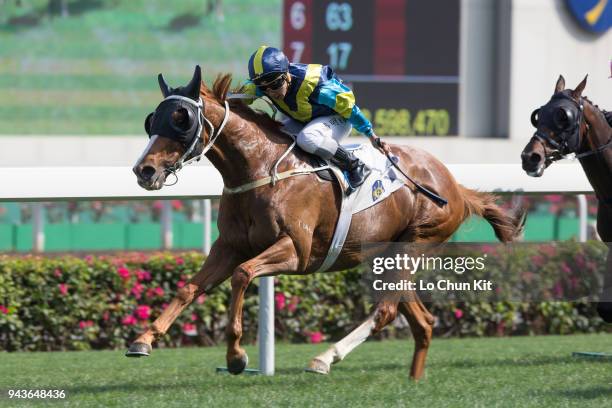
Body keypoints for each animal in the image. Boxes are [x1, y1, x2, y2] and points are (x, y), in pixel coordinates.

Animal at [126, 67, 524, 380]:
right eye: (152, 120)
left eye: (181, 119)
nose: (144, 170)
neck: (261, 169)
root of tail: (454, 186)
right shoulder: (229, 245)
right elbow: (189, 288)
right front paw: (143, 340)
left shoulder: (295, 251)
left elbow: (243, 274)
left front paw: (236, 356)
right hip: (384, 255)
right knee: (420, 320)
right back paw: (413, 380)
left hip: (416, 243)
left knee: (386, 310)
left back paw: (324, 358)